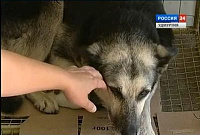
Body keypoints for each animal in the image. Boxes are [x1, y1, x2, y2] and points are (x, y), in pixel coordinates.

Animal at [1, 1, 177, 135]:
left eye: (143, 93)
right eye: (115, 90)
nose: (129, 132)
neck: (129, 25)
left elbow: (145, 108)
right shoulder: (58, 53)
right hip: (55, 7)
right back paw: (43, 98)